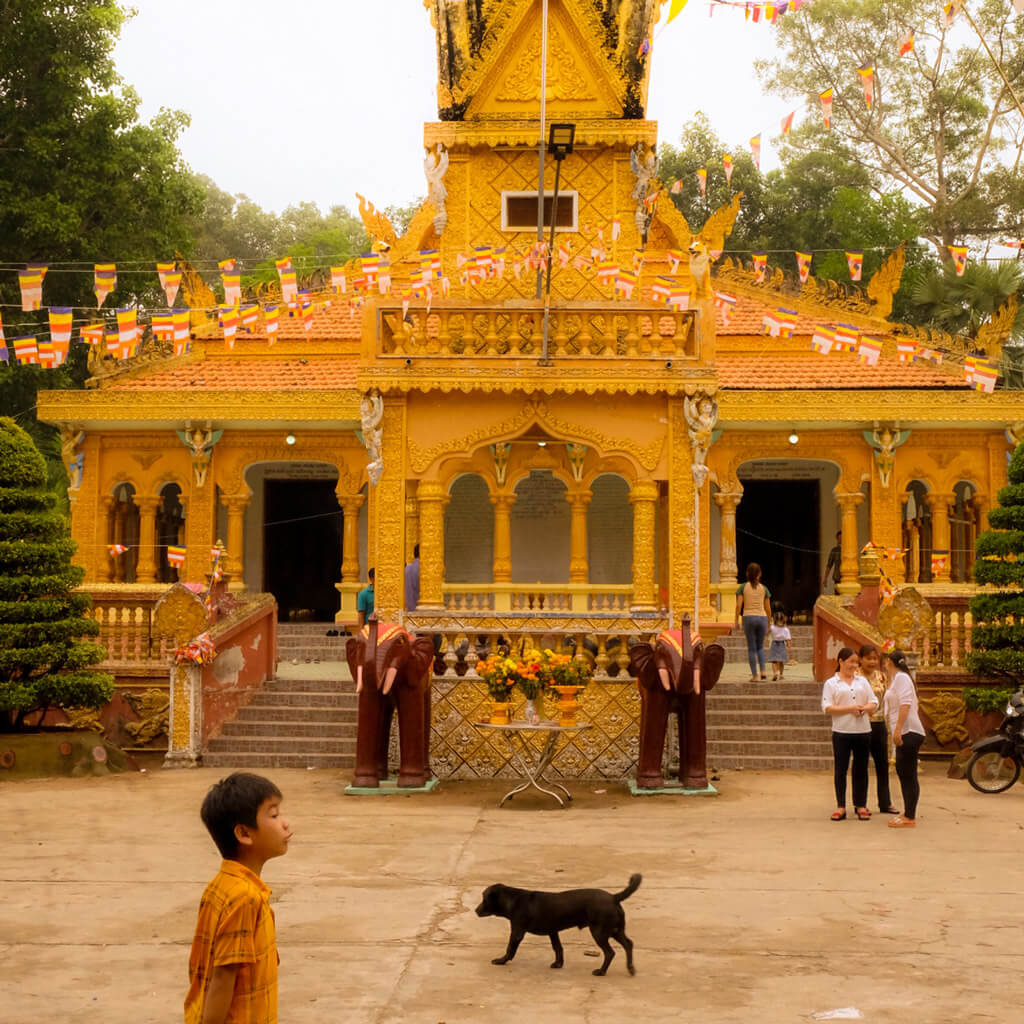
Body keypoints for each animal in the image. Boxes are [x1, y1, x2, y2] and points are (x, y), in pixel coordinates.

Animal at [473, 872, 638, 974]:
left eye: (484, 899)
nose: (475, 910)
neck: (513, 900)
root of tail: (613, 897)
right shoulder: (553, 931)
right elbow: (558, 948)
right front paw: (558, 964)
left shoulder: (517, 931)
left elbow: (510, 948)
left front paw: (501, 960)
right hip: (615, 930)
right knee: (628, 944)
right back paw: (630, 969)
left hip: (600, 932)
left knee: (610, 952)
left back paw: (601, 972)